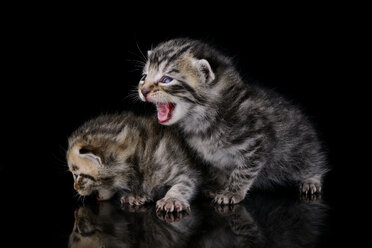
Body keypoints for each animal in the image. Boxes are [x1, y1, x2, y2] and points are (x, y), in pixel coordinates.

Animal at [67, 112, 201, 211]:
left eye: (77, 175)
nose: (75, 188)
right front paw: (135, 195)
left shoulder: (182, 168)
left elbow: (184, 184)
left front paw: (172, 199)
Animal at [139, 38, 328, 204]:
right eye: (144, 77)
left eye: (166, 79)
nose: (143, 90)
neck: (203, 120)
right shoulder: (209, 158)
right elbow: (218, 172)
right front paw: (218, 187)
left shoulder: (257, 144)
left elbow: (243, 172)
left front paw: (232, 193)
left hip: (301, 153)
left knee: (312, 164)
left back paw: (311, 180)